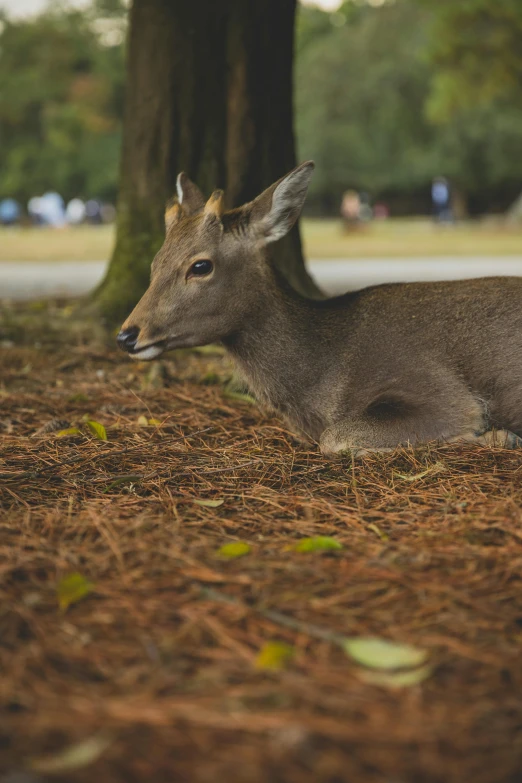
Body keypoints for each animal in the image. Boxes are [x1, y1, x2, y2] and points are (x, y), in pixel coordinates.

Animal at [117, 162, 520, 456]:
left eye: (200, 265)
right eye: (154, 263)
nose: (126, 335)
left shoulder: (438, 390)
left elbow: (335, 438)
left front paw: (496, 436)